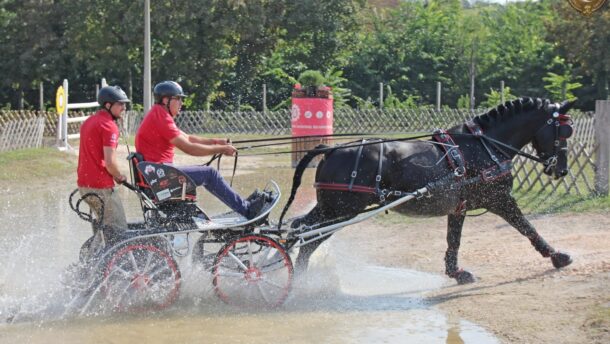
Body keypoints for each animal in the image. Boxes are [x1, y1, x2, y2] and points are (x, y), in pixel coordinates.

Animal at [280, 98, 576, 284]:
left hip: (331, 208)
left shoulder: (459, 206)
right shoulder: (500, 199)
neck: (484, 146)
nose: (561, 170)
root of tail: (330, 149)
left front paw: (455, 272)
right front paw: (556, 256)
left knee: (298, 228)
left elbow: (453, 240)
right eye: (564, 131)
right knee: (308, 239)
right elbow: (526, 227)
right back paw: (301, 283)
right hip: (341, 210)